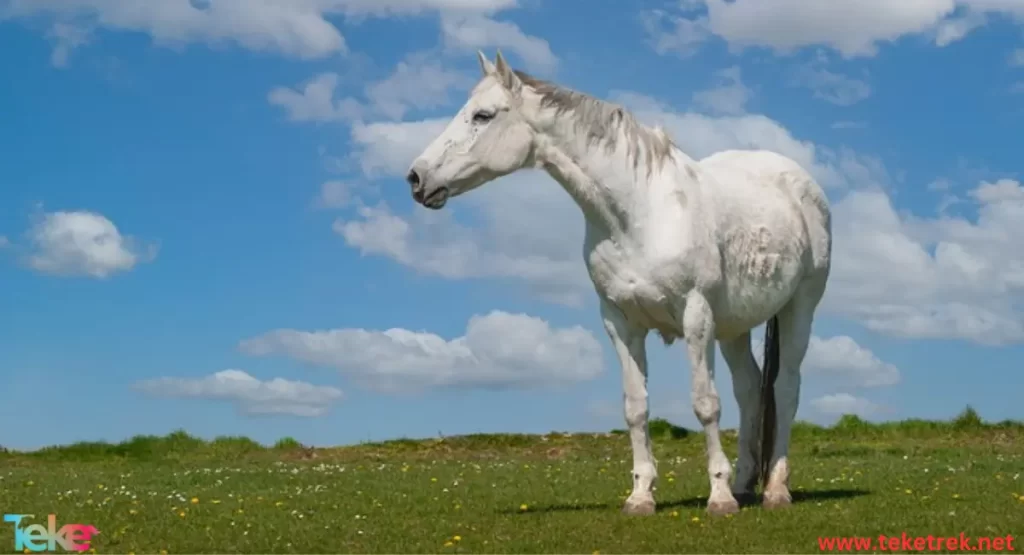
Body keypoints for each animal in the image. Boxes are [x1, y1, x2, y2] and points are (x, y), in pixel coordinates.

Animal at [405, 52, 831, 518]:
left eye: (482, 115)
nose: (417, 178)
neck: (638, 214)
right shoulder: (620, 322)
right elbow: (636, 408)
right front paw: (641, 496)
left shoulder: (696, 316)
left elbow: (705, 404)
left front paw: (718, 498)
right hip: (734, 327)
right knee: (751, 391)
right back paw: (744, 485)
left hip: (799, 309)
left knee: (784, 389)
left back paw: (774, 489)